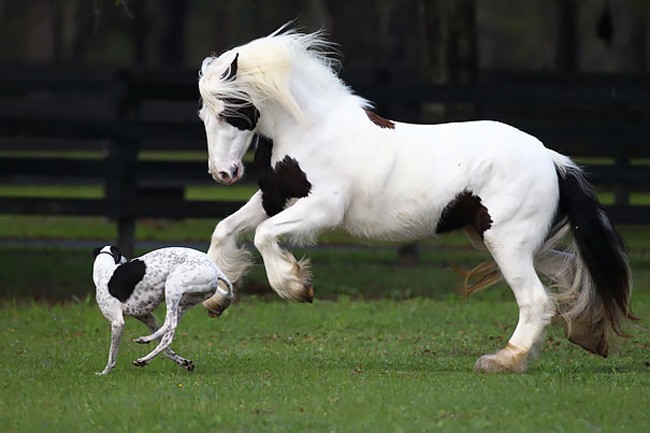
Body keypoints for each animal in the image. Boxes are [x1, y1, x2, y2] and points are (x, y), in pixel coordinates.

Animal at [91, 245, 233, 372]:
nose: (127, 259)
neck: (104, 270)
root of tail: (215, 269)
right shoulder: (148, 318)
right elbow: (167, 349)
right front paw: (184, 362)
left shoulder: (117, 323)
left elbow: (112, 355)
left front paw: (105, 372)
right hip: (183, 302)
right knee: (167, 337)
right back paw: (144, 358)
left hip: (172, 286)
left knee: (170, 323)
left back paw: (145, 340)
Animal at [197, 27, 632, 372]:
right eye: (204, 114)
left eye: (229, 112)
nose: (223, 174)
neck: (312, 129)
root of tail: (552, 158)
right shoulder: (274, 197)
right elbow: (224, 230)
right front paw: (217, 299)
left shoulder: (323, 209)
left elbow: (264, 236)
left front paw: (296, 286)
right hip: (506, 241)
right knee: (566, 270)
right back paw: (587, 333)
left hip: (507, 242)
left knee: (537, 301)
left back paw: (502, 361)